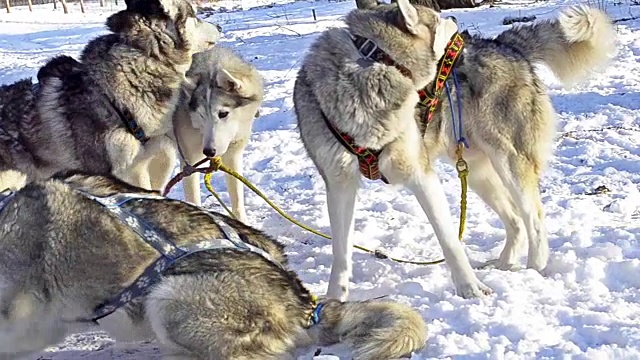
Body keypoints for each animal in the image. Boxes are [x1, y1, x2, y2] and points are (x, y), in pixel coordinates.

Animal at [171, 46, 264, 224]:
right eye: (201, 115)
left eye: (223, 114)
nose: (208, 151)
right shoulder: (188, 163)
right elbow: (193, 198)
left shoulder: (233, 154)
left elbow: (237, 195)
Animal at [292, 0, 616, 300]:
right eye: (437, 18)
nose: (455, 18)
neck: (376, 62)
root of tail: (503, 44)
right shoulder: (339, 184)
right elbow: (341, 250)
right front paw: (334, 299)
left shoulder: (421, 175)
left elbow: (450, 242)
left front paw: (470, 289)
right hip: (478, 174)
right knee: (515, 221)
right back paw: (504, 265)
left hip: (509, 163)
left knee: (533, 217)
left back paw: (534, 269)